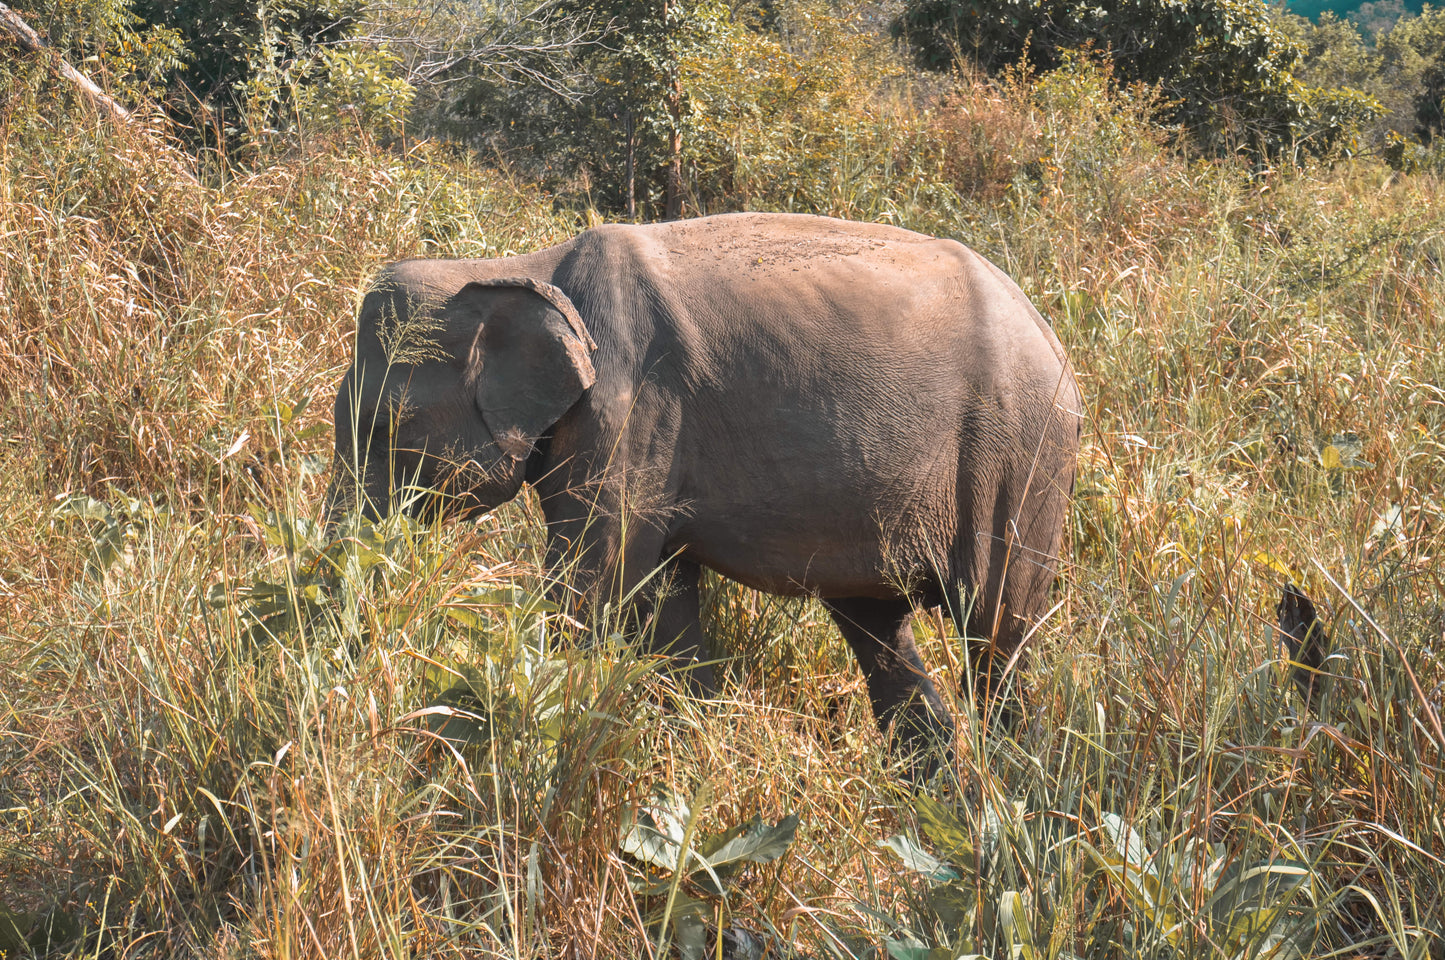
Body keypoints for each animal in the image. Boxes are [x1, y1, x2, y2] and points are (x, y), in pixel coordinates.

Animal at [325, 212, 1075, 763]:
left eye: (384, 422)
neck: (514, 269)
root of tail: (1049, 332)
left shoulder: (629, 412)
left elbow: (595, 583)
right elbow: (665, 599)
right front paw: (697, 751)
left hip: (1016, 456)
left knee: (996, 631)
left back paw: (1013, 789)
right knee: (880, 632)